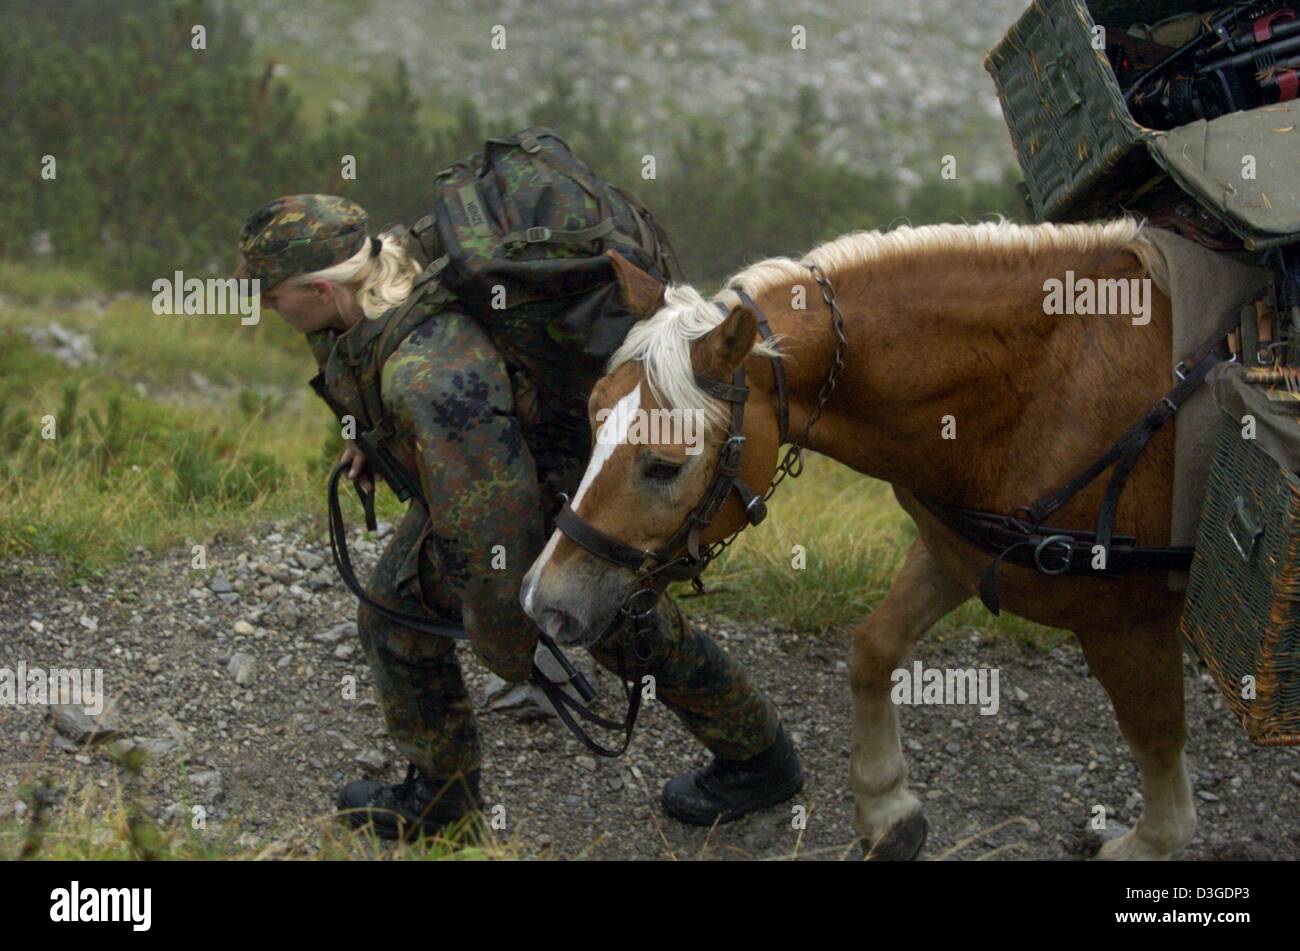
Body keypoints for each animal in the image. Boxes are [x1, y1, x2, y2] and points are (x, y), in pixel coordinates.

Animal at [514, 219, 1196, 857]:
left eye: (663, 465)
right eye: (593, 419)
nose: (544, 602)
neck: (1049, 384)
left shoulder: (1128, 625)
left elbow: (1158, 744)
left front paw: (1148, 842)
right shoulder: (956, 553)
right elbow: (873, 650)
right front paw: (886, 808)